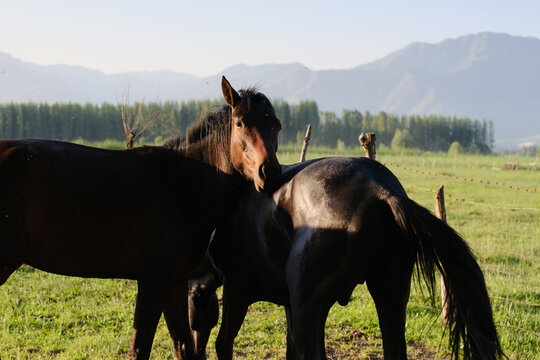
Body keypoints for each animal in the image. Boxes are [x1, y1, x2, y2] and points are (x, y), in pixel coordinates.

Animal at [1, 76, 282, 360]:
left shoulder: (176, 283)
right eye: (240, 123)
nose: (269, 173)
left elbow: (183, 346)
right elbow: (140, 347)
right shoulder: (153, 281)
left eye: (276, 125)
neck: (183, 183)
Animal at [188, 158, 504, 360]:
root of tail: (379, 189)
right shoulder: (291, 305)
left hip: (309, 308)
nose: (194, 351)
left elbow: (223, 344)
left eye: (193, 299)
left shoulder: (238, 294)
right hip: (389, 298)